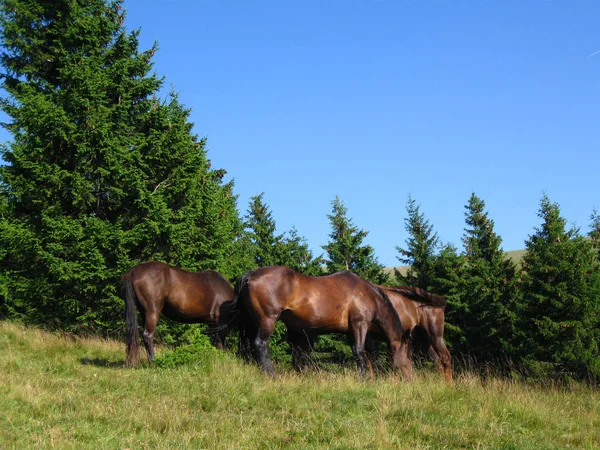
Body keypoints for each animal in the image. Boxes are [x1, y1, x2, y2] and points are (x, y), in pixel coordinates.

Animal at [232, 266, 414, 378]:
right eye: (407, 354)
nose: (410, 377)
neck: (368, 294)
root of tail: (250, 275)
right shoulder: (359, 325)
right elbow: (360, 351)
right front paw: (363, 378)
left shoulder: (352, 330)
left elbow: (367, 353)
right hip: (267, 320)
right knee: (260, 344)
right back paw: (272, 375)